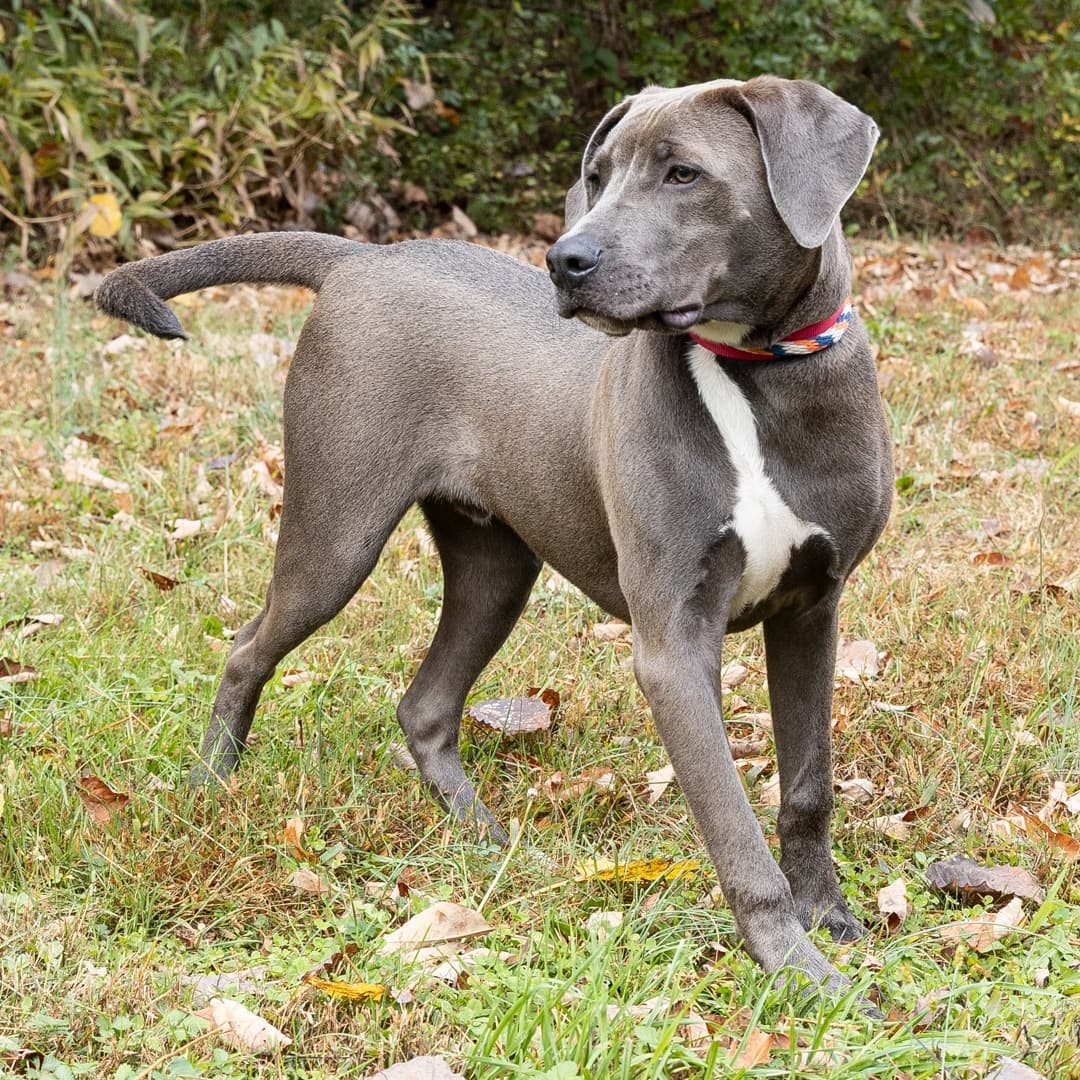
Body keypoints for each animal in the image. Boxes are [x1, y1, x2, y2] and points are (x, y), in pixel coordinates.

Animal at [95, 71, 885, 989]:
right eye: (598, 174)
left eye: (683, 173)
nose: (566, 261)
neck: (754, 376)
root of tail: (361, 258)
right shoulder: (673, 642)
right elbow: (734, 829)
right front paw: (803, 975)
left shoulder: (812, 609)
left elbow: (807, 789)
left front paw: (830, 919)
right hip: (337, 531)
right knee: (249, 645)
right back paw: (209, 784)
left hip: (494, 569)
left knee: (425, 707)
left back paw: (484, 839)